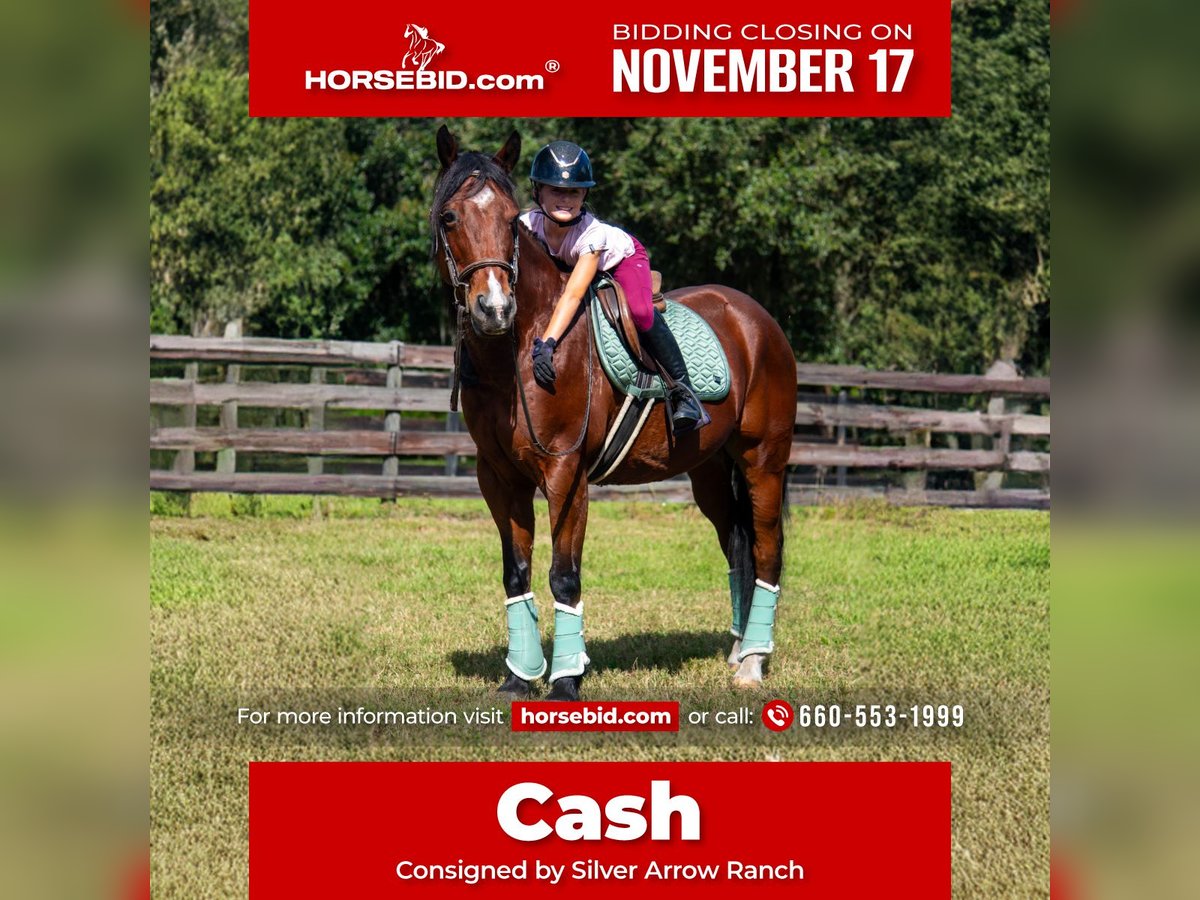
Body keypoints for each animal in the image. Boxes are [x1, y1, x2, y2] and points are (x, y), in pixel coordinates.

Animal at [431, 126, 797, 700]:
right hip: (712, 473)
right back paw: (739, 648)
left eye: (511, 220)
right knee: (735, 544)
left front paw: (565, 680)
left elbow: (564, 576)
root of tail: (756, 318)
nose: (494, 309)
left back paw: (754, 663)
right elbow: (516, 573)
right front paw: (519, 677)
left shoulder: (567, 476)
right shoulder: (498, 477)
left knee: (767, 549)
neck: (521, 349)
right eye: (450, 217)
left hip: (764, 461)